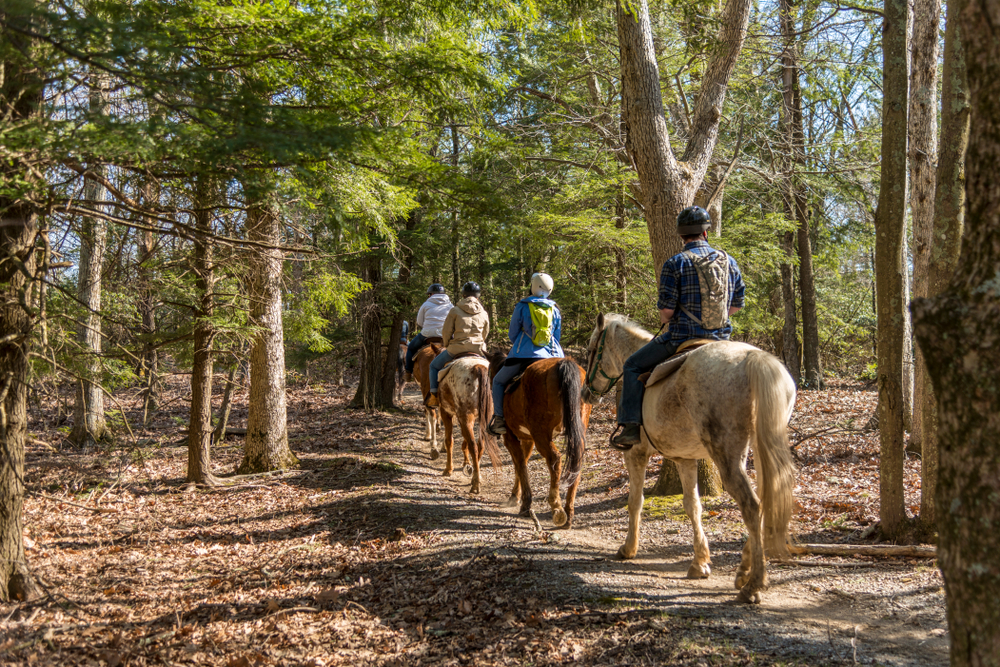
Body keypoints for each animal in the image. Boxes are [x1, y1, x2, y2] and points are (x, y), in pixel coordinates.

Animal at [436, 358, 500, 494]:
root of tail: (478, 367)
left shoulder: (446, 413)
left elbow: (449, 440)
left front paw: (448, 469)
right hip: (484, 418)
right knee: (480, 446)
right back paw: (476, 477)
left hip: (465, 416)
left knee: (473, 446)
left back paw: (475, 484)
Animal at [486, 354, 592, 528]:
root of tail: (563, 364)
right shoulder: (528, 439)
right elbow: (521, 464)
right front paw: (516, 496)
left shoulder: (511, 438)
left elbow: (520, 465)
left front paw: (524, 503)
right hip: (576, 433)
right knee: (576, 462)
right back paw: (569, 514)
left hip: (541, 434)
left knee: (554, 459)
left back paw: (557, 508)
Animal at [584, 314, 792, 604]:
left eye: (591, 350)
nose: (585, 393)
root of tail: (754, 357)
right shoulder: (685, 459)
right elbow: (693, 506)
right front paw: (700, 562)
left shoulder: (635, 454)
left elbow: (635, 502)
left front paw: (628, 548)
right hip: (761, 448)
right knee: (764, 499)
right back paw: (743, 572)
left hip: (727, 455)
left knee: (752, 505)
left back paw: (753, 585)